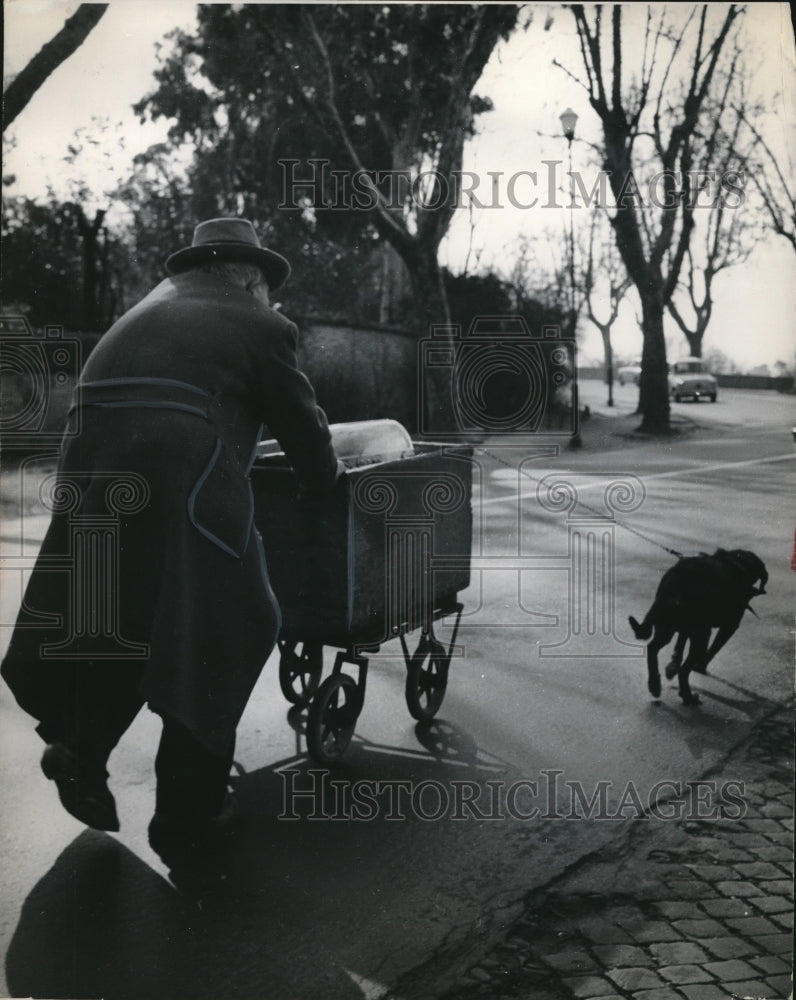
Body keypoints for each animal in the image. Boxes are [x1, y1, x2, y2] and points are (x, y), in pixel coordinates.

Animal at [632, 552, 768, 708]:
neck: (737, 563)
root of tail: (678, 581)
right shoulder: (730, 626)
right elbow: (714, 648)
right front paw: (699, 666)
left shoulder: (686, 628)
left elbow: (680, 643)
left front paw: (673, 664)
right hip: (701, 636)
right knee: (684, 670)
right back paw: (688, 697)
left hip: (666, 627)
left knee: (652, 648)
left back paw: (654, 684)